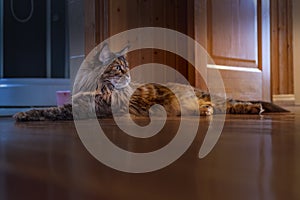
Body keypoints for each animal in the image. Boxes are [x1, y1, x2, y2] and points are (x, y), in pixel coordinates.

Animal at [13, 43, 288, 121]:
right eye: (119, 68)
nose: (129, 76)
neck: (95, 88)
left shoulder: (96, 110)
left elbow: (52, 111)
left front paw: (22, 114)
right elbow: (48, 109)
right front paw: (24, 114)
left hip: (211, 99)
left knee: (234, 103)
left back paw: (255, 108)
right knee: (218, 107)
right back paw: (205, 111)